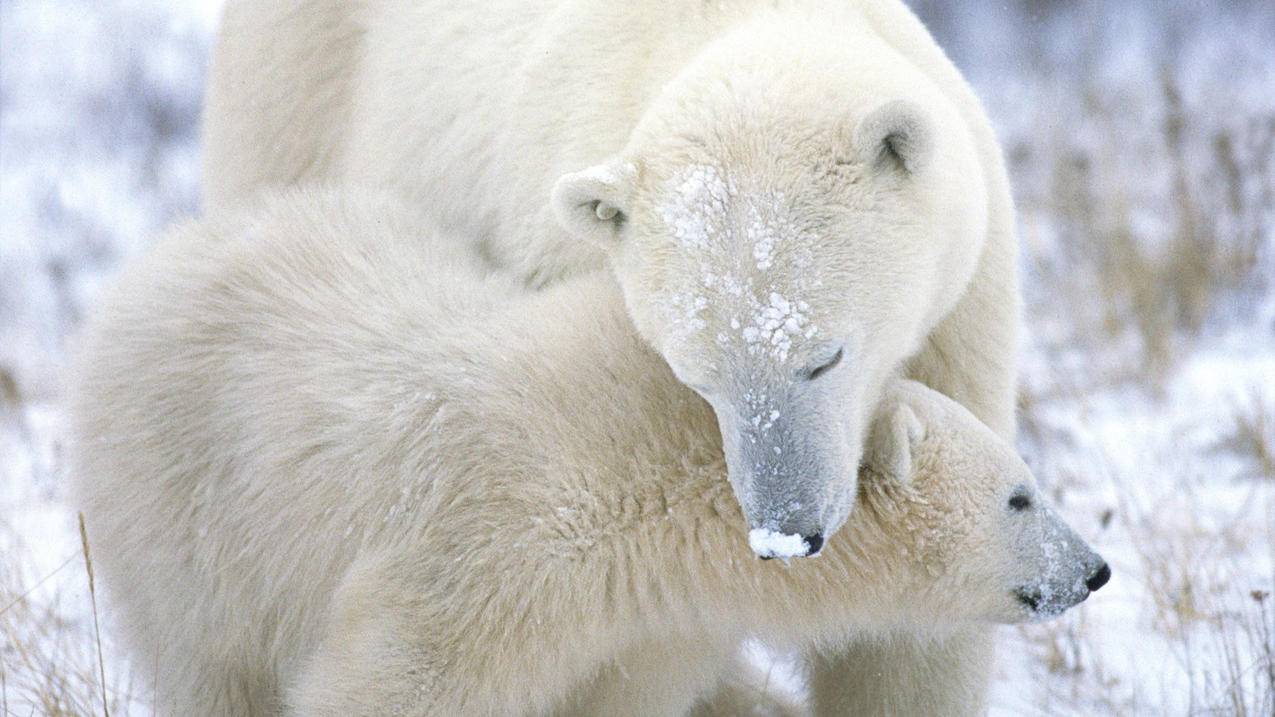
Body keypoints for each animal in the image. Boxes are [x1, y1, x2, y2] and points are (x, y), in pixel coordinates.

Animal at [72, 190, 1106, 714]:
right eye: (1019, 495)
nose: (1093, 569)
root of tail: (151, 261)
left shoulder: (645, 624)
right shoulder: (485, 552)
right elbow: (391, 679)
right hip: (189, 509)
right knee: (211, 662)